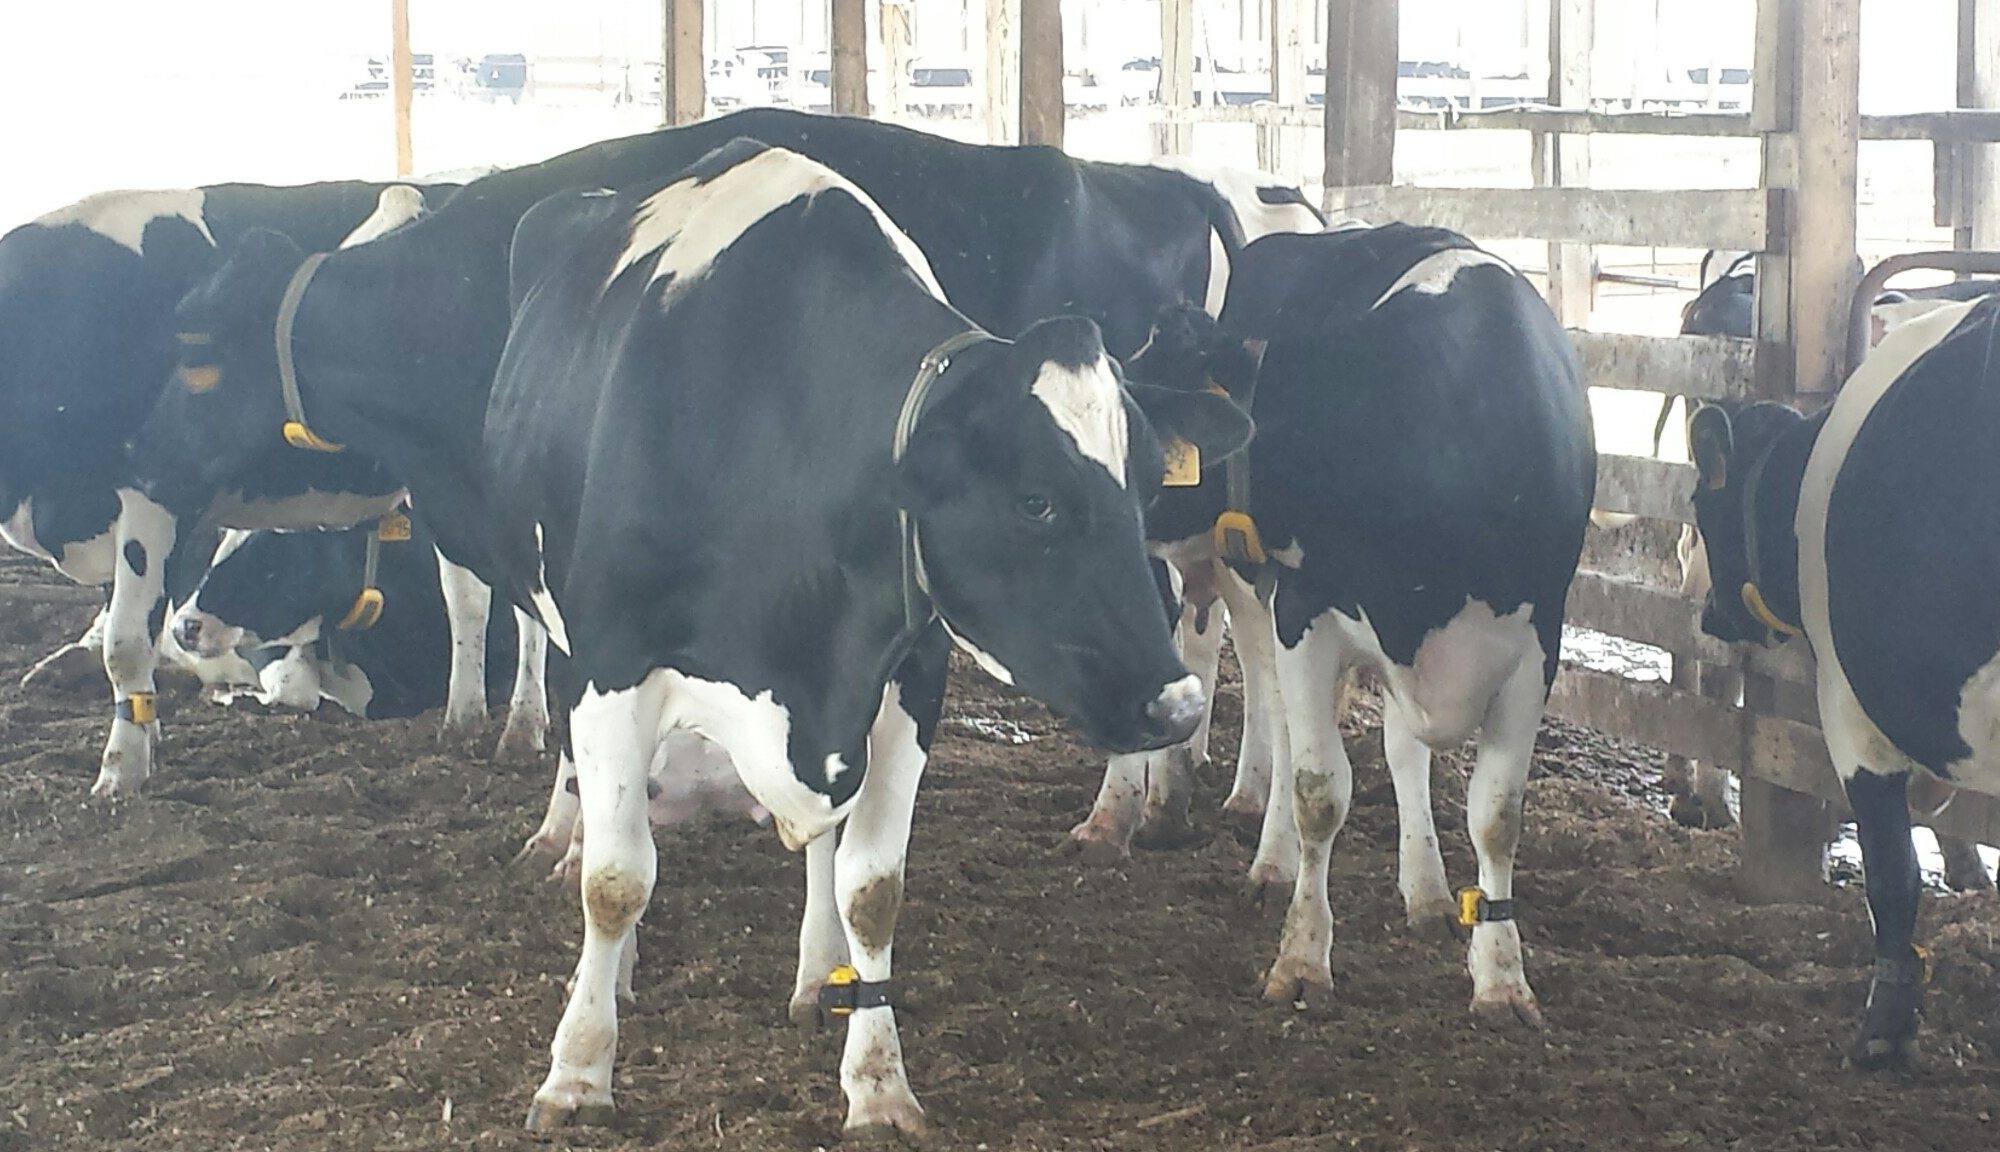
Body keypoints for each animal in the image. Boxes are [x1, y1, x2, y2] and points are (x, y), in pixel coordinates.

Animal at [492, 142, 1248, 1136]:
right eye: (1036, 501)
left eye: (1148, 489)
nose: (1179, 703)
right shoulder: (612, 664)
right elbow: (617, 881)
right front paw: (578, 1072)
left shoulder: (900, 673)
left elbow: (871, 885)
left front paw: (878, 1083)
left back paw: (822, 980)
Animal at [1096, 223, 1592, 1016]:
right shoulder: (1304, 611)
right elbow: (1318, 790)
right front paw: (1302, 959)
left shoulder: (1535, 647)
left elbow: (1496, 816)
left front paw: (1501, 978)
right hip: (1258, 594)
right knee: (1279, 716)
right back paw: (1270, 865)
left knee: (1400, 750)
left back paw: (1426, 892)